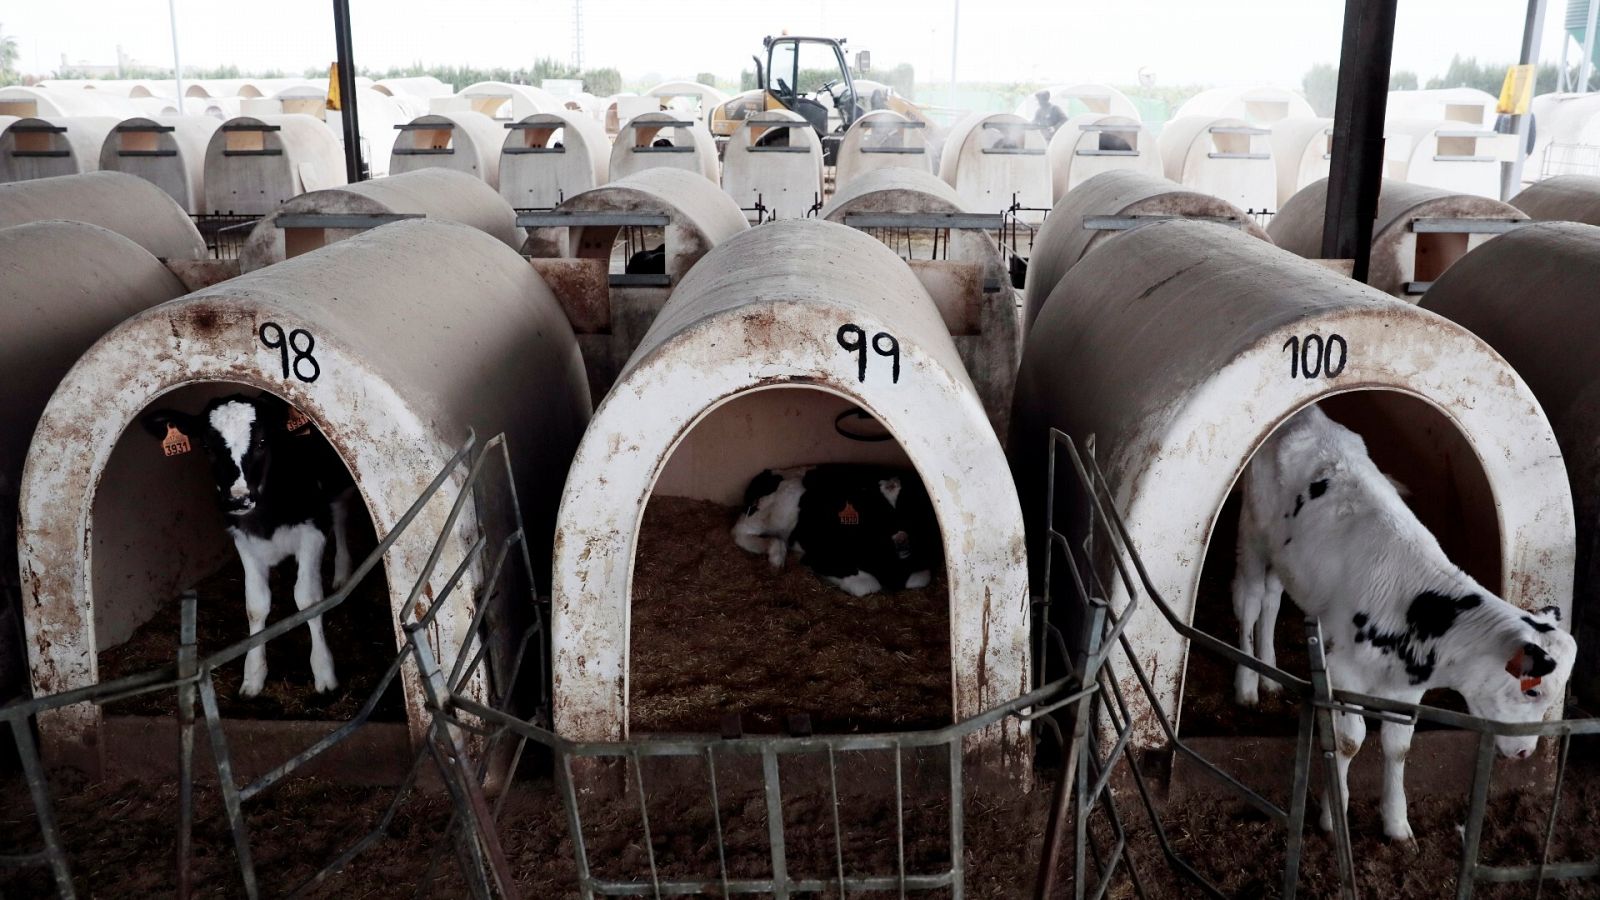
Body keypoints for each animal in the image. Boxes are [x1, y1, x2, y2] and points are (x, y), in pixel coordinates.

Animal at [144, 390, 356, 695]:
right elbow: (256, 605)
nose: (237, 499)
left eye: (262, 442)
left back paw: (342, 572)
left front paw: (324, 672)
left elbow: (308, 599)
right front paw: (253, 675)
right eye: (206, 446)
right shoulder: (243, 540)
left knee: (339, 512)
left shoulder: (312, 531)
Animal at [732, 461, 940, 595]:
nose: (902, 541)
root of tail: (769, 471)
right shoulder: (822, 553)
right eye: (875, 509)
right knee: (740, 531)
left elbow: (919, 578)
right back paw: (776, 556)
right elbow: (867, 585)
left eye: (913, 506)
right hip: (774, 509)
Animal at [1235, 403, 1574, 839]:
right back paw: (1247, 685)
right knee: (1250, 600)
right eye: (1533, 692)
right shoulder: (1343, 672)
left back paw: (1270, 674)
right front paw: (1334, 818)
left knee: (1273, 599)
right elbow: (1350, 741)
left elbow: (1399, 746)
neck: (1417, 611)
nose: (1524, 752)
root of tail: (1305, 415)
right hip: (1252, 531)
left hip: (1288, 560)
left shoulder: (1406, 687)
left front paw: (1397, 825)